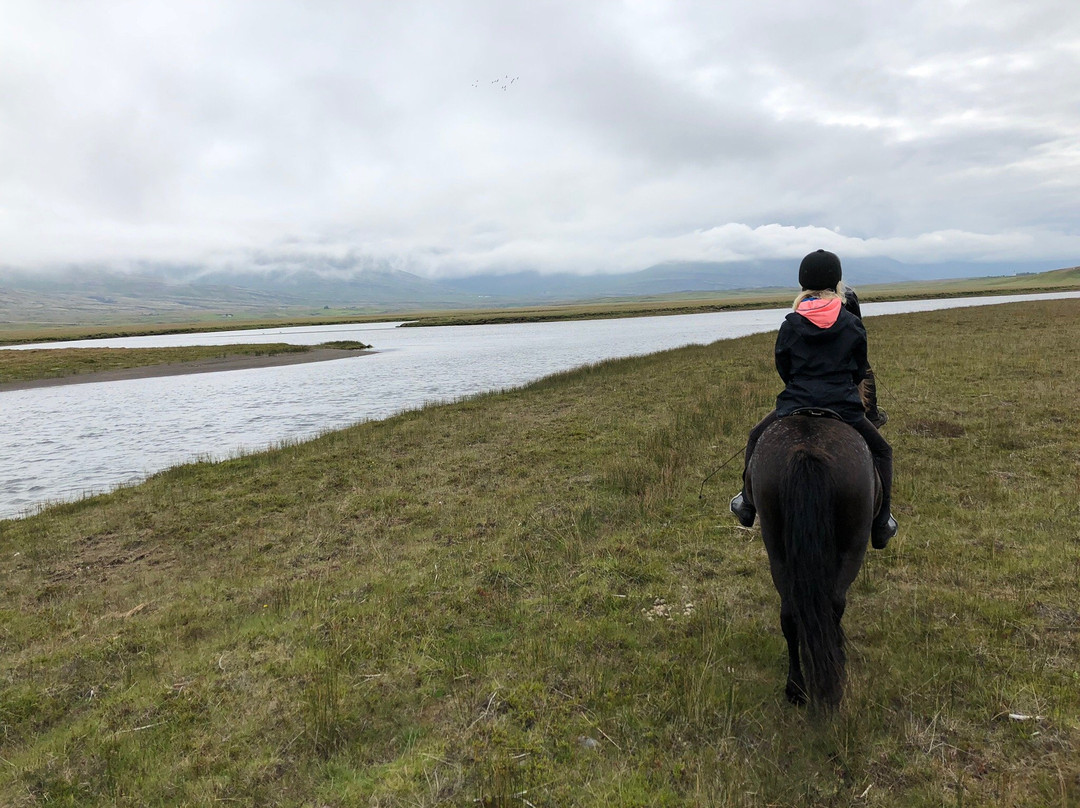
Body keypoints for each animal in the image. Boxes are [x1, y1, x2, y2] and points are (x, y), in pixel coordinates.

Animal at [744, 412, 881, 709]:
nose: (878, 416)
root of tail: (806, 453)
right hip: (854, 546)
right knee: (834, 605)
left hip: (777, 550)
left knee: (789, 613)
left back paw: (796, 688)